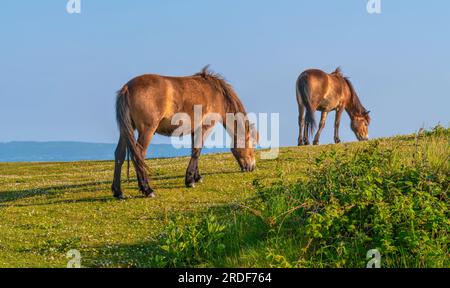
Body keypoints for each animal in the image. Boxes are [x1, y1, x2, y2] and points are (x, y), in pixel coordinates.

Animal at [112, 66, 256, 199]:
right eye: (252, 144)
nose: (252, 167)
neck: (216, 93)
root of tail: (127, 88)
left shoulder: (195, 129)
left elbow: (194, 151)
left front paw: (197, 177)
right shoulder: (206, 127)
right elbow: (197, 151)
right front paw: (190, 181)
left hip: (126, 130)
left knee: (119, 154)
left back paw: (118, 192)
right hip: (147, 130)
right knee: (139, 154)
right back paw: (147, 189)